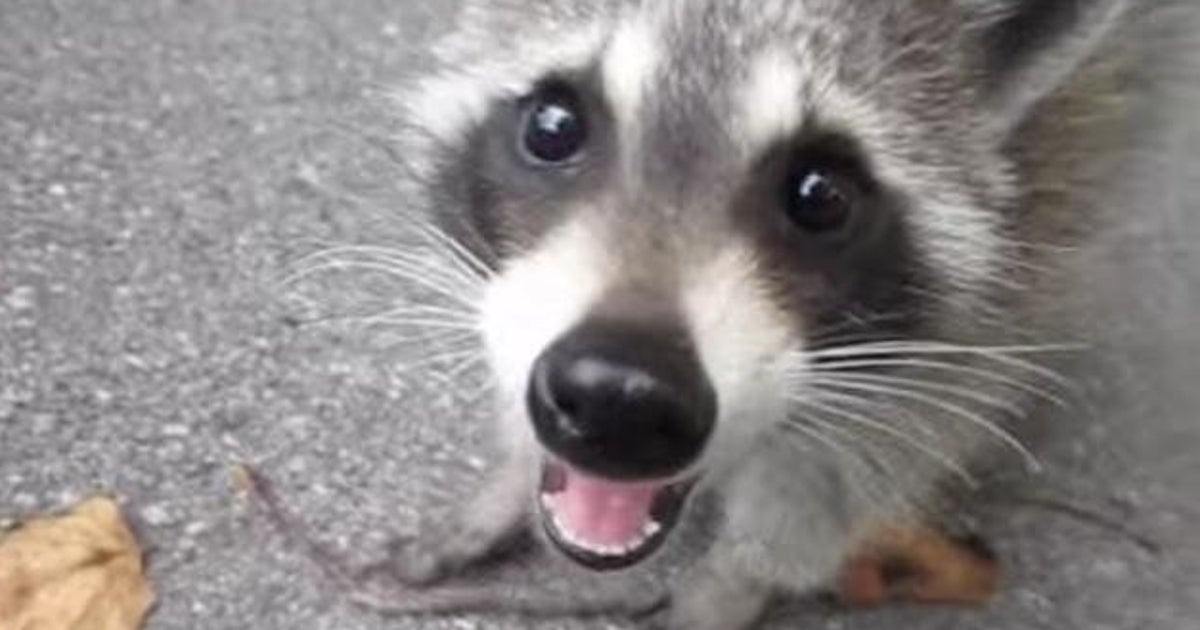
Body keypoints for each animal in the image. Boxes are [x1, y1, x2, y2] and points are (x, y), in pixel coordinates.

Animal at [334, 0, 1186, 627]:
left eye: (821, 195)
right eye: (553, 126)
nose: (618, 397)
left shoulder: (1040, 204)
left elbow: (869, 449)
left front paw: (731, 584)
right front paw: (510, 475)